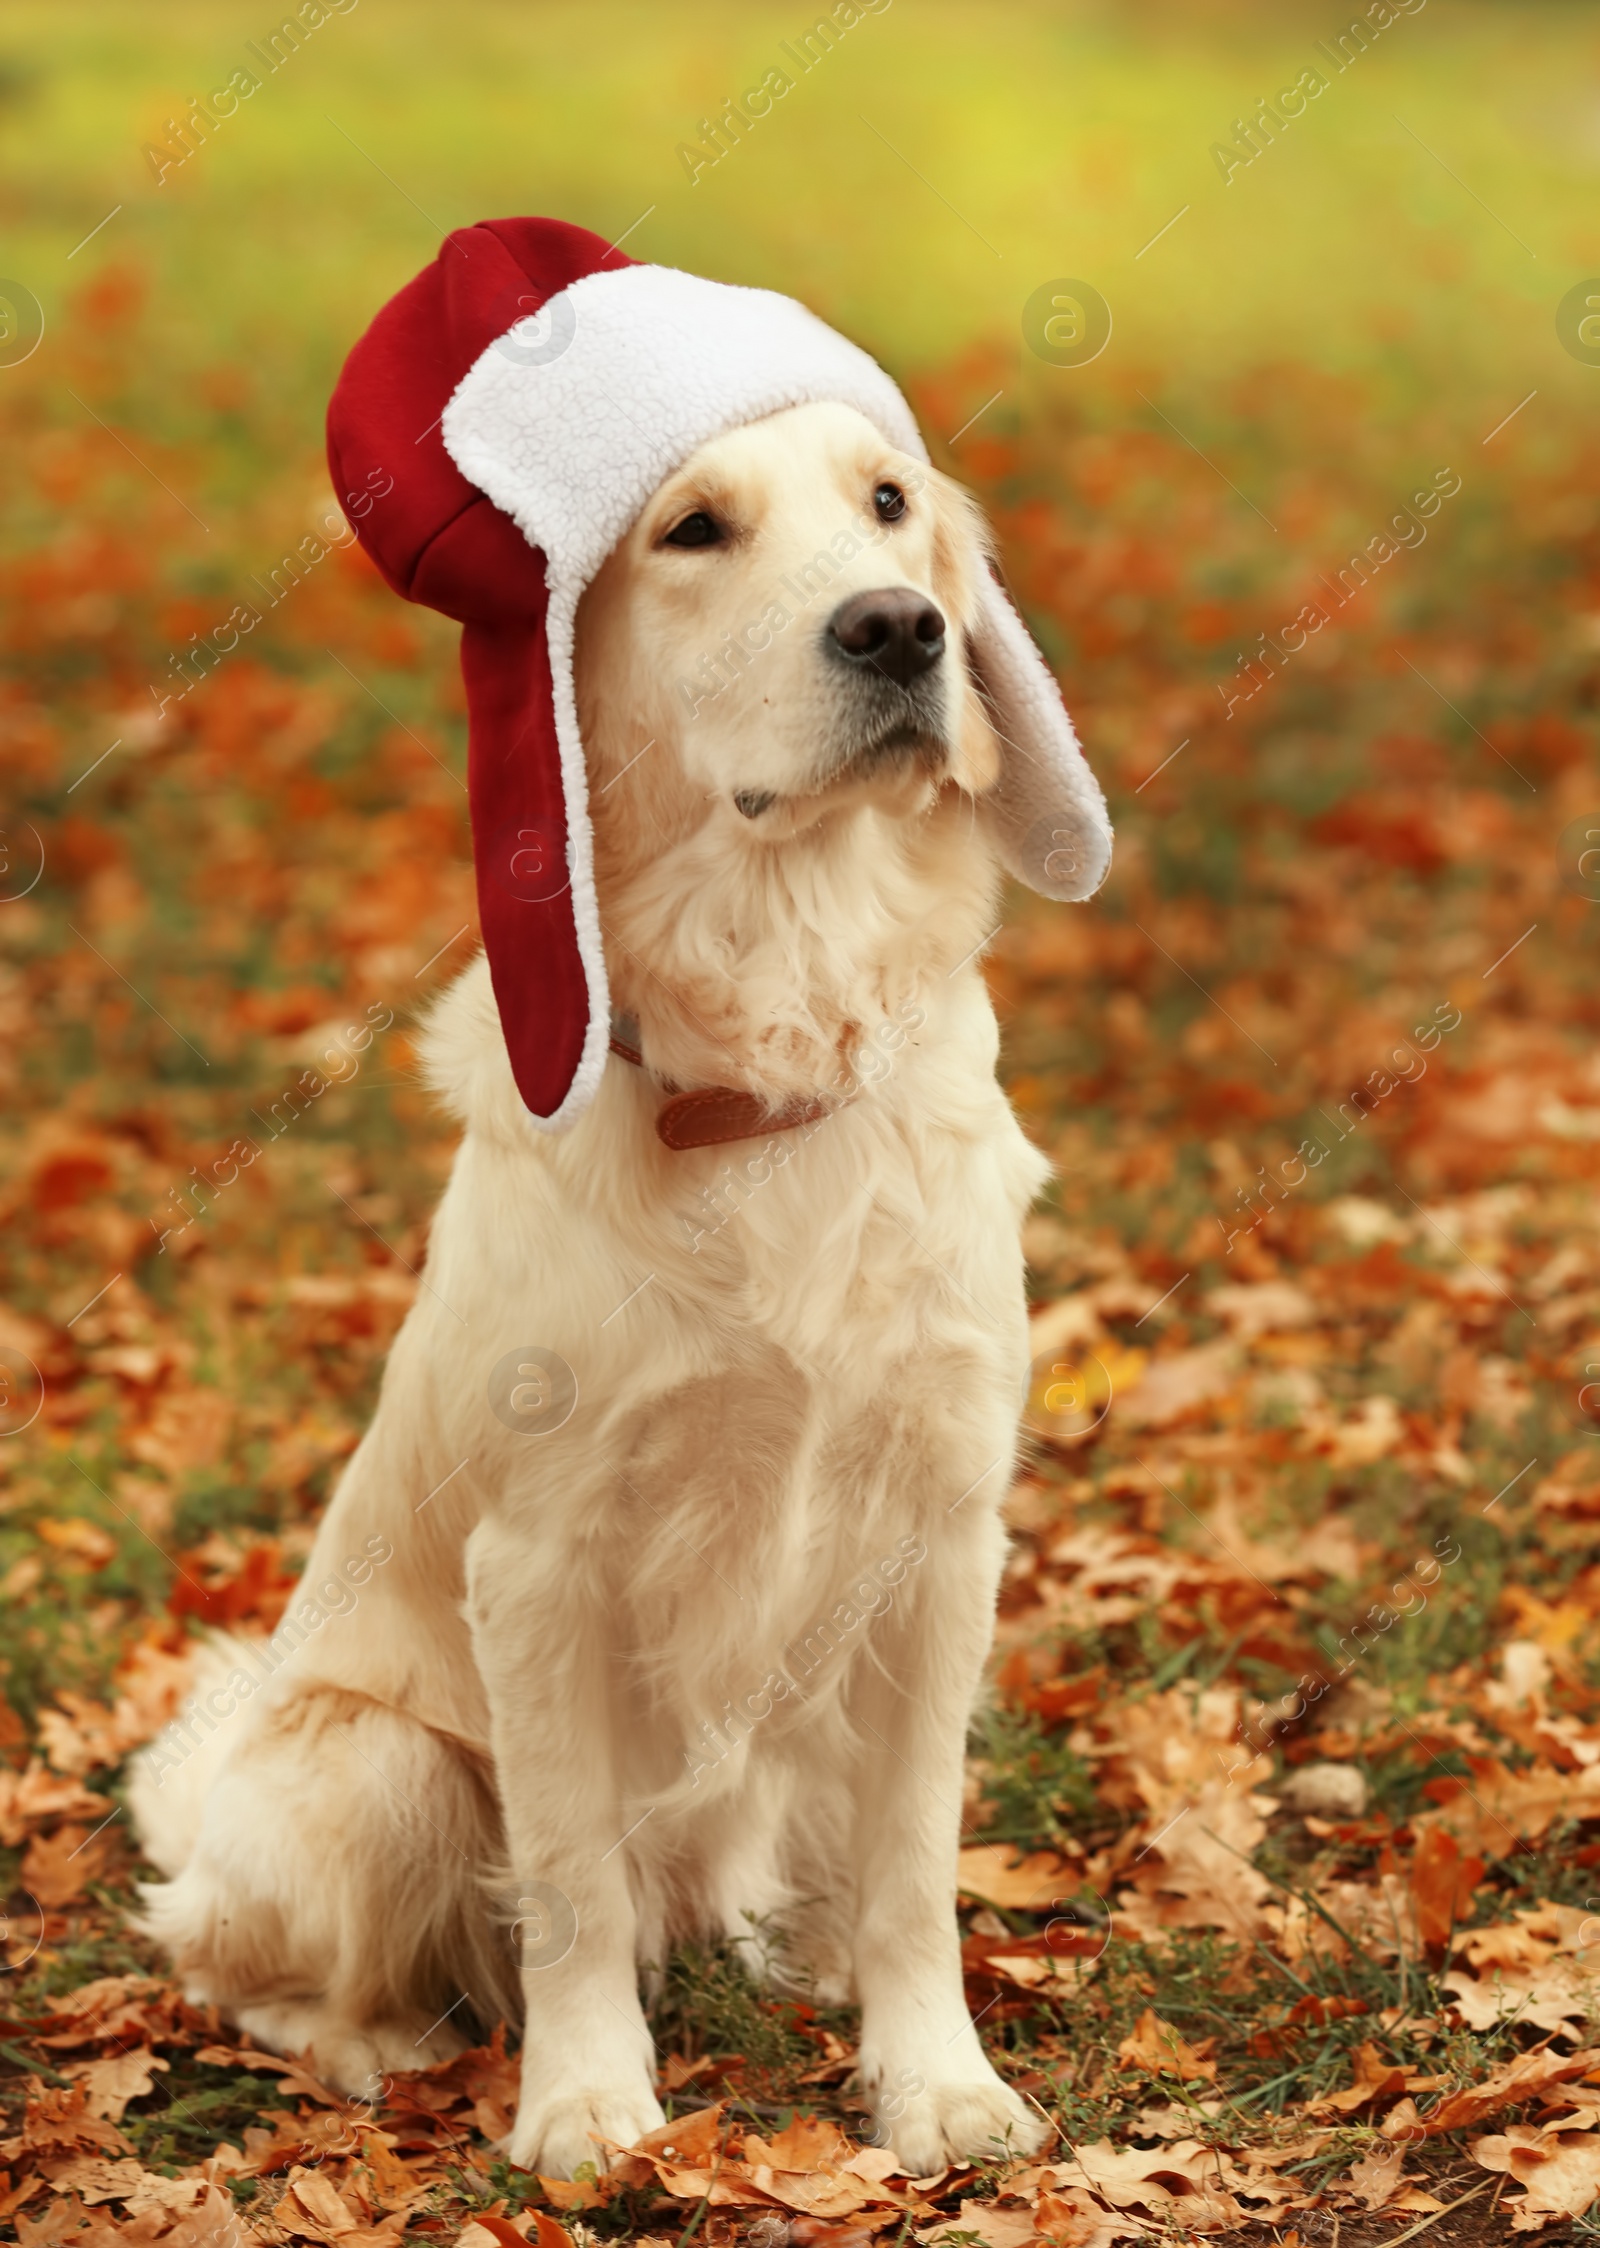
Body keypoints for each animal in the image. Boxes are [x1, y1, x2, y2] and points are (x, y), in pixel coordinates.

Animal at [134, 400, 1074, 2176]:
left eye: (888, 503)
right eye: (694, 529)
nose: (901, 629)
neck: (770, 1052)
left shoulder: (941, 1530)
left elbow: (916, 1858)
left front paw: (935, 2080)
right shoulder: (543, 1558)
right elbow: (570, 1878)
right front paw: (585, 2102)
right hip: (377, 1764)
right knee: (252, 1975)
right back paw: (385, 2051)